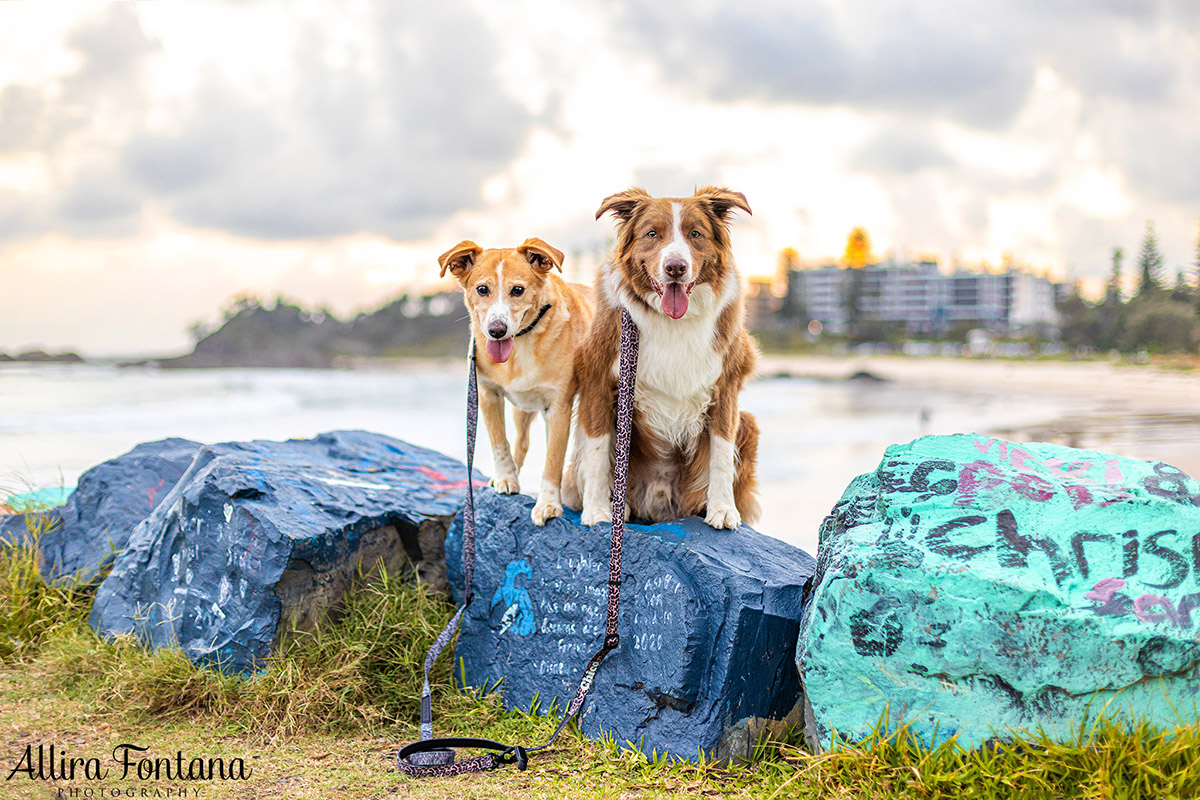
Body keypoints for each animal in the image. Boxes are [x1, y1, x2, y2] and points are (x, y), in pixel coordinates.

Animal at [439, 237, 592, 525]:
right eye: (482, 289)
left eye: (518, 290)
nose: (496, 330)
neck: (521, 343)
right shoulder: (487, 394)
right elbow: (500, 442)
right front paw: (506, 478)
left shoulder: (559, 408)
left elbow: (553, 460)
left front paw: (548, 504)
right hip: (523, 409)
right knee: (522, 442)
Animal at [561, 188, 758, 532]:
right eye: (652, 234)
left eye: (696, 234)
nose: (675, 267)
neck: (673, 321)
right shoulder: (597, 381)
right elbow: (597, 452)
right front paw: (597, 510)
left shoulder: (727, 386)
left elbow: (721, 455)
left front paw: (722, 509)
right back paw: (620, 506)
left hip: (747, 422)